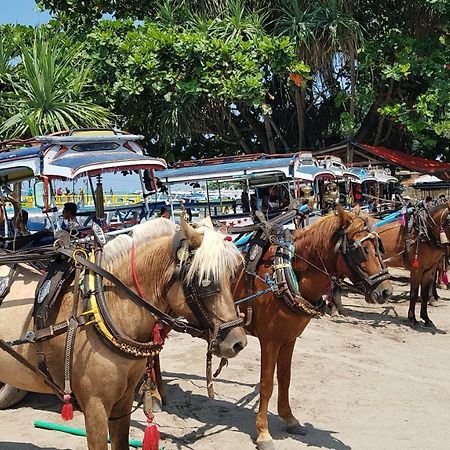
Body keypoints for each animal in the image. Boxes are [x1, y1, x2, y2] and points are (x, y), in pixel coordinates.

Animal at [0, 216, 246, 448]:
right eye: (205, 281)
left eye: (231, 275)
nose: (237, 343)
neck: (104, 305)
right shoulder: (95, 406)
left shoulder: (124, 400)